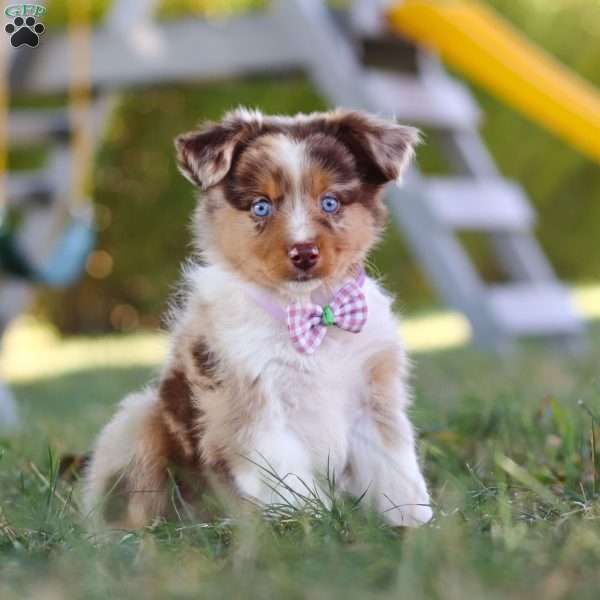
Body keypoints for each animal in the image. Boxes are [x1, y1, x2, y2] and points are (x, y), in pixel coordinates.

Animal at [83, 105, 432, 528]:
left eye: (330, 202)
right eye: (261, 206)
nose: (304, 253)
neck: (312, 314)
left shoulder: (373, 399)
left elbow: (395, 469)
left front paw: (414, 526)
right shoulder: (254, 408)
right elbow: (290, 484)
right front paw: (311, 527)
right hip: (138, 422)